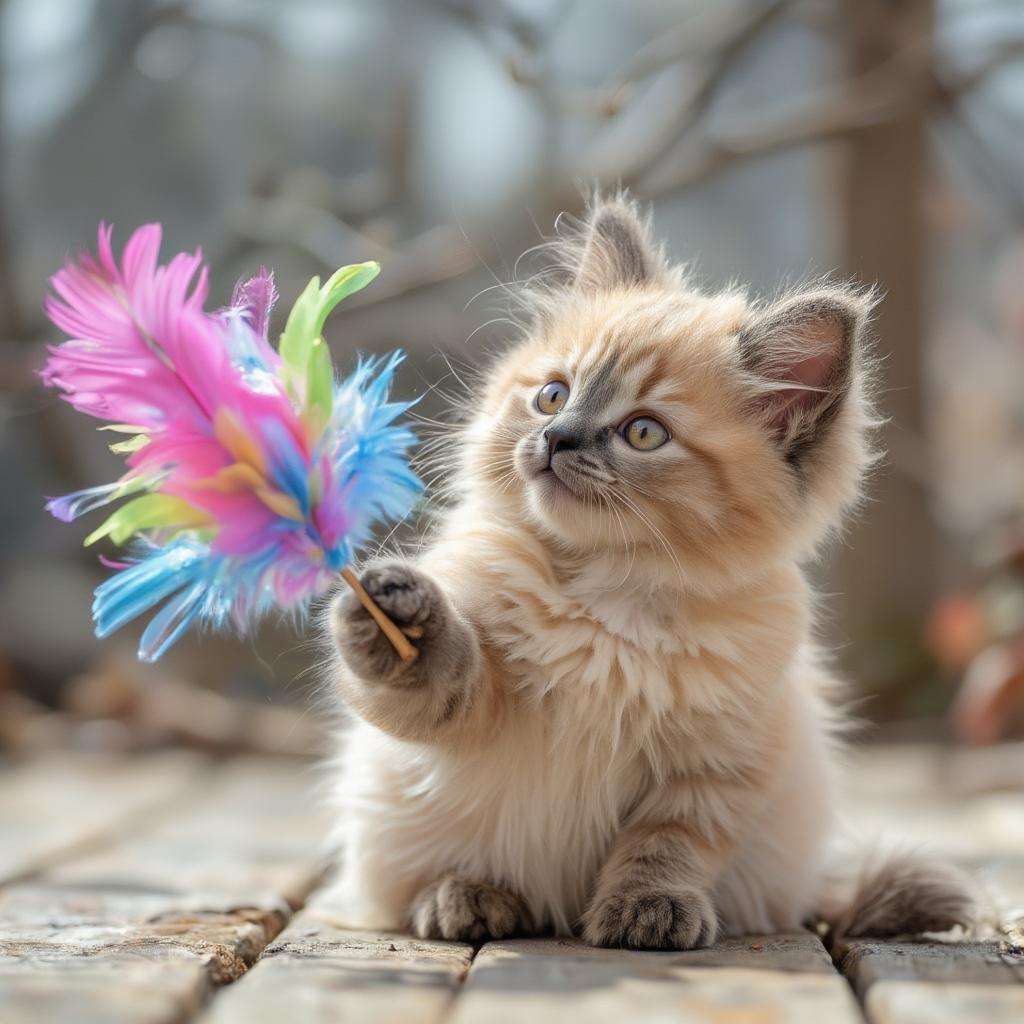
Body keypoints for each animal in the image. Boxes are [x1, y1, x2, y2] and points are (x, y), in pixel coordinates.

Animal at [323, 195, 970, 946]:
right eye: (552, 395)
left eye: (642, 433)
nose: (555, 438)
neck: (608, 596)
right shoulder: (474, 710)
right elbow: (435, 674)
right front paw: (396, 612)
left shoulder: (713, 768)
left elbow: (665, 846)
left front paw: (646, 910)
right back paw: (469, 898)